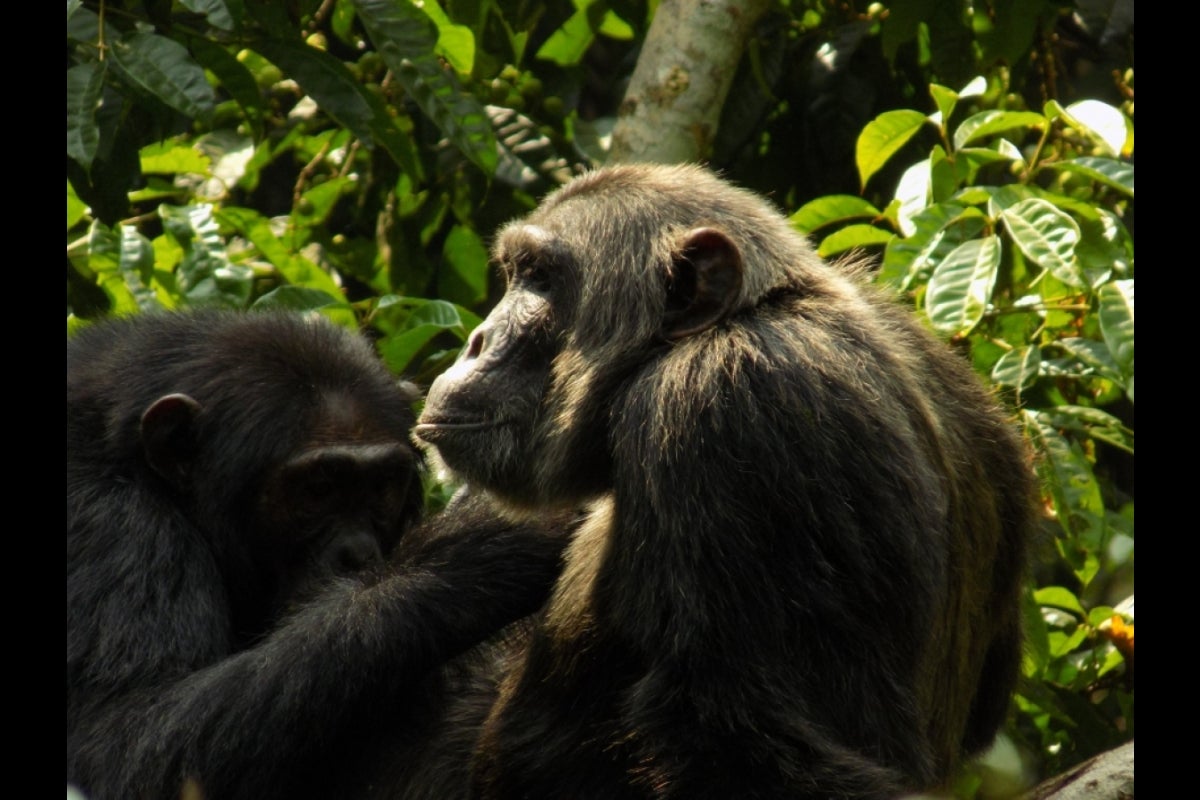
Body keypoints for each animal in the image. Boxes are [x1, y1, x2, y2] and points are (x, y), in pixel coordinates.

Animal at [66, 311, 571, 800]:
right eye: (318, 490)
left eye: (380, 486)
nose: (357, 554)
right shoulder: (111, 528)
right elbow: (126, 744)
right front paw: (482, 544)